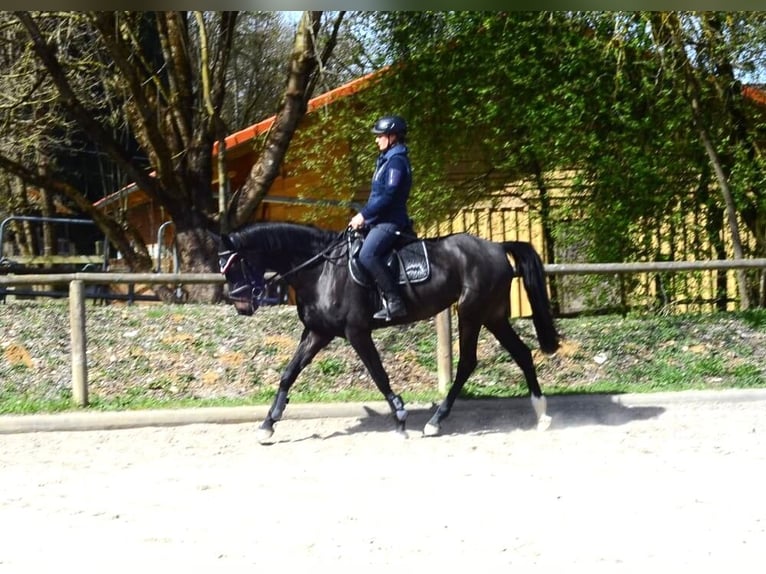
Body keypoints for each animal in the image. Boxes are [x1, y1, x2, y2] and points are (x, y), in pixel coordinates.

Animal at [217, 221, 560, 442]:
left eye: (235, 266)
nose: (240, 305)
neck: (321, 270)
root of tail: (496, 247)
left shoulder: (356, 332)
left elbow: (379, 375)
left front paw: (400, 417)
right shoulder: (317, 332)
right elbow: (289, 374)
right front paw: (267, 424)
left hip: (472, 313)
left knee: (468, 363)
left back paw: (435, 423)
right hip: (492, 315)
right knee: (521, 353)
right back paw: (542, 415)